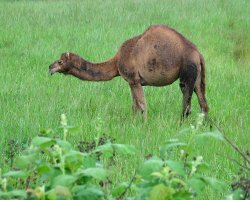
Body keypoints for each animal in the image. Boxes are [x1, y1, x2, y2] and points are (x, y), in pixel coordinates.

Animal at [48, 25, 209, 119]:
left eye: (60, 62)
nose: (50, 68)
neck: (117, 60)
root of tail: (197, 53)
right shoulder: (132, 82)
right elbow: (135, 106)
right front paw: (134, 123)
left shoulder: (133, 79)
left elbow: (142, 106)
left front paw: (144, 126)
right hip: (198, 76)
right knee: (203, 103)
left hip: (187, 70)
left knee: (186, 104)